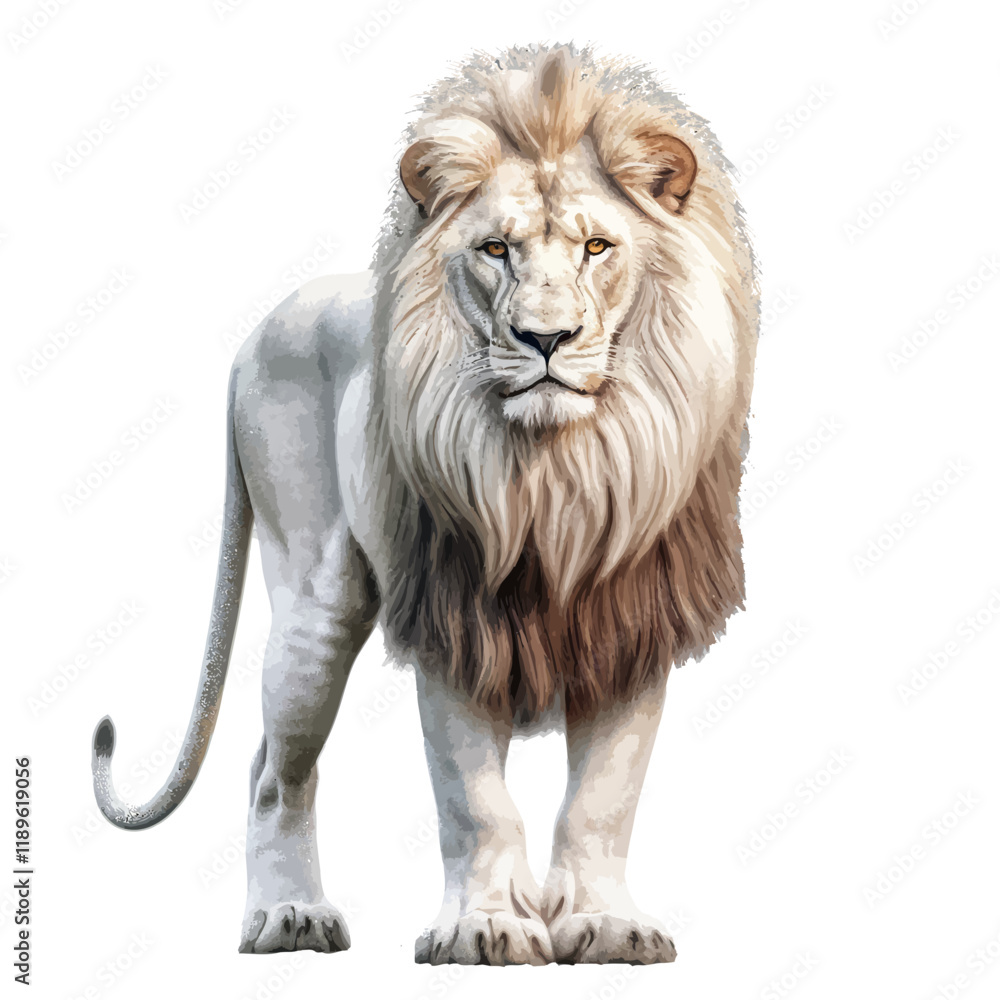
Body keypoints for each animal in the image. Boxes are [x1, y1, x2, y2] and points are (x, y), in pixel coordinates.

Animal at [91, 43, 758, 965]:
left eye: (597, 246)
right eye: (495, 249)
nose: (544, 340)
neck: (557, 474)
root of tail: (253, 335)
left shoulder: (630, 619)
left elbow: (603, 798)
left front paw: (606, 926)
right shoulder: (453, 613)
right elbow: (473, 800)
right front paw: (486, 927)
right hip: (316, 603)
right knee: (272, 771)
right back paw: (288, 918)